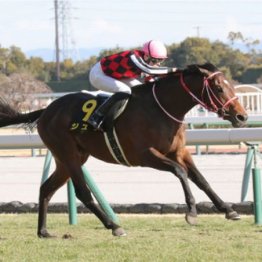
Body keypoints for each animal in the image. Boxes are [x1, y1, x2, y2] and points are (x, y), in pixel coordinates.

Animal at [0, 63, 248, 237]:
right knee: (82, 193)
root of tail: (46, 110)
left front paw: (228, 210)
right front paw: (192, 212)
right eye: (218, 88)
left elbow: (201, 179)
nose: (241, 116)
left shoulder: (179, 152)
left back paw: (43, 231)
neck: (162, 108)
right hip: (68, 154)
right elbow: (181, 172)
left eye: (230, 86)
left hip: (70, 158)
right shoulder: (145, 155)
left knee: (46, 189)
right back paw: (114, 226)